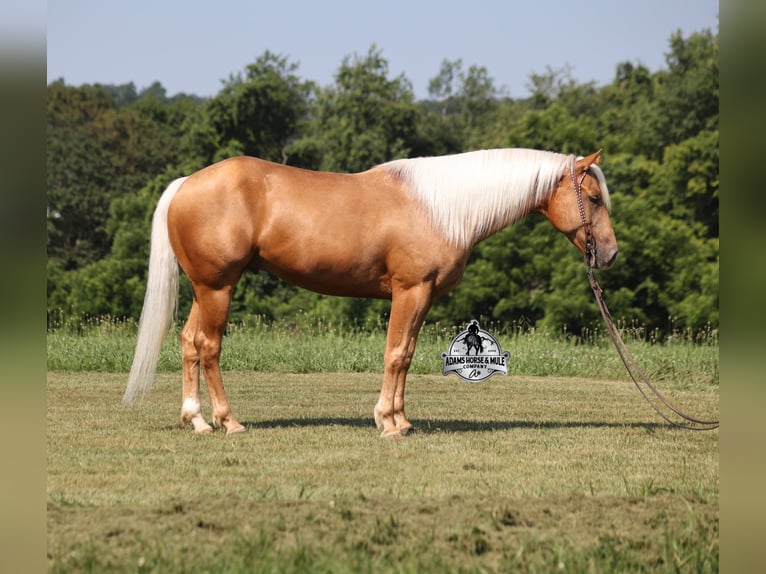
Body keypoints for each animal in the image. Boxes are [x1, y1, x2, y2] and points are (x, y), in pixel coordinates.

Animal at [123, 148, 618, 438]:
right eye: (593, 198)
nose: (610, 255)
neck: (442, 206)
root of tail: (184, 184)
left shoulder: (422, 296)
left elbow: (408, 354)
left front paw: (401, 419)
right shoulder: (410, 291)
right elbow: (396, 354)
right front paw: (388, 423)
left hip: (204, 290)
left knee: (189, 342)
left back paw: (196, 420)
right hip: (218, 288)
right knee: (208, 347)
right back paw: (228, 422)